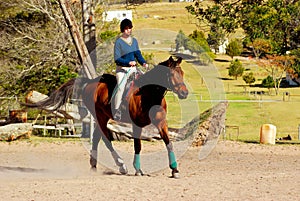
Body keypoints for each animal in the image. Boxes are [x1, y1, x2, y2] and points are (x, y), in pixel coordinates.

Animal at [24, 56, 188, 177]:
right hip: (100, 117)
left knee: (97, 137)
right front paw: (138, 170)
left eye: (182, 73)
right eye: (172, 74)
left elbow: (168, 143)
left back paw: (94, 166)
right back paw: (121, 166)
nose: (184, 93)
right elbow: (138, 146)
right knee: (106, 140)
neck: (149, 94)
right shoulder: (136, 124)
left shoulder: (161, 122)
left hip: (102, 117)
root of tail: (90, 82)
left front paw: (175, 170)